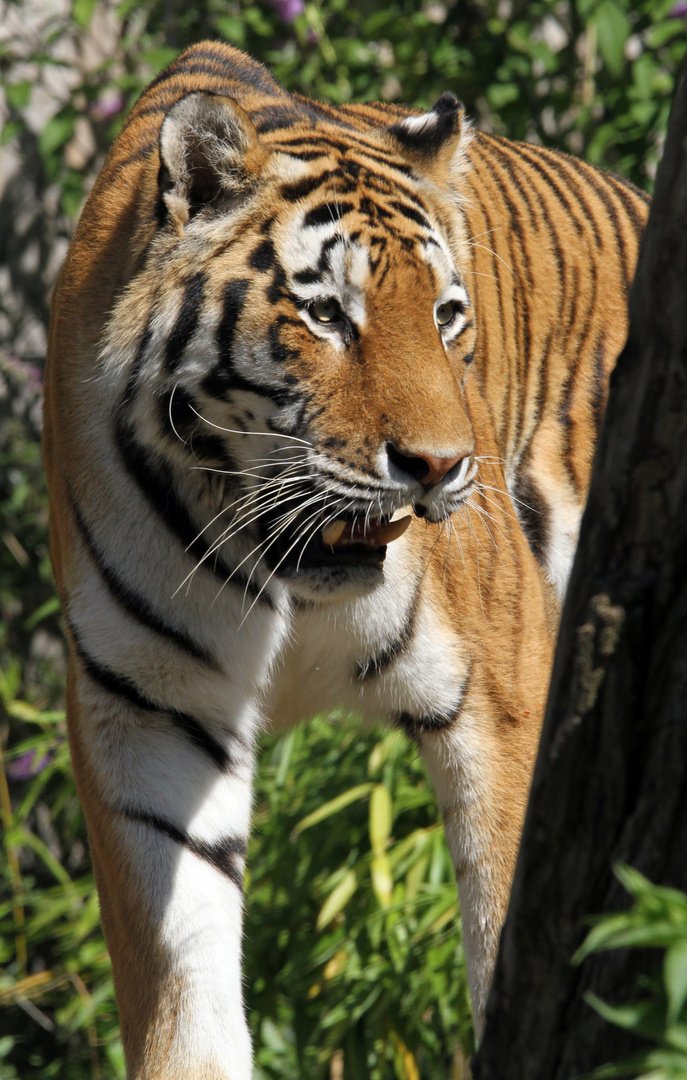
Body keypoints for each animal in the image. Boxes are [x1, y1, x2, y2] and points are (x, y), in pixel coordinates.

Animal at [44, 38, 648, 1080]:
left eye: (446, 315)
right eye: (326, 315)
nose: (438, 466)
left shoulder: (507, 683)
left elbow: (505, 931)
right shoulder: (146, 710)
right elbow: (182, 1000)